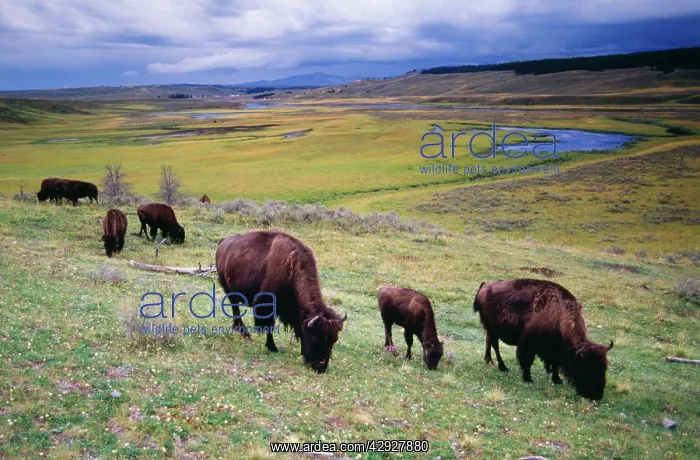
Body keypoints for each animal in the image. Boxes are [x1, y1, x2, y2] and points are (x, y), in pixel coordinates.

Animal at [216, 231, 346, 373]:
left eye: (334, 340)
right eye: (316, 339)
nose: (320, 367)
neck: (294, 268)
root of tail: (223, 241)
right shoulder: (267, 305)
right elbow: (269, 326)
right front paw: (272, 347)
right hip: (228, 288)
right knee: (236, 308)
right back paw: (245, 334)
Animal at [473, 279, 613, 400]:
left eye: (604, 367)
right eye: (587, 367)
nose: (597, 395)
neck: (559, 314)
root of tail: (486, 285)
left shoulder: (556, 350)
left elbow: (555, 364)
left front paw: (557, 380)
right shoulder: (528, 344)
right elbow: (527, 361)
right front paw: (528, 379)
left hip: (489, 329)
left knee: (489, 342)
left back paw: (489, 361)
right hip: (492, 329)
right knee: (495, 345)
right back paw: (503, 367)